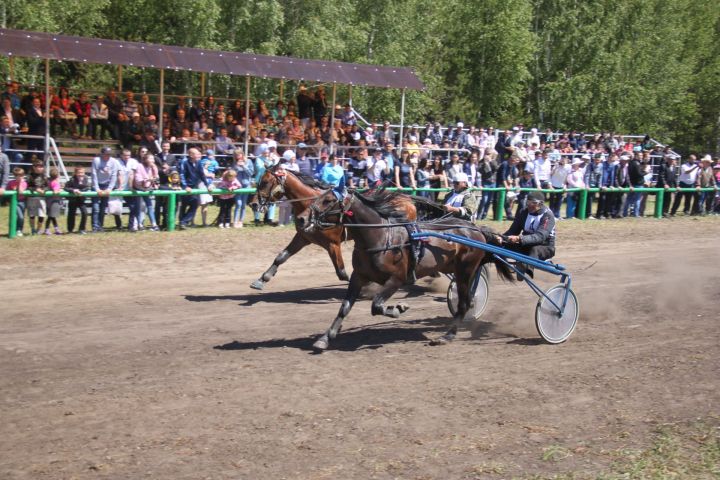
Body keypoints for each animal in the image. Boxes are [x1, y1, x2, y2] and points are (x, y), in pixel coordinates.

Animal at [252, 166, 420, 288]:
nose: (253, 203)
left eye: (265, 182)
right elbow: (281, 257)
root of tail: (408, 199)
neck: (310, 204)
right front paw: (262, 279)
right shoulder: (303, 237)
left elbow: (341, 272)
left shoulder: (333, 243)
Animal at [296, 189, 516, 350]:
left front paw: (398, 309)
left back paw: (447, 335)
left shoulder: (397, 279)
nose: (300, 219)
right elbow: (345, 307)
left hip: (465, 271)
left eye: (328, 200)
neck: (381, 238)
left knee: (464, 302)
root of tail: (477, 230)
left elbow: (376, 305)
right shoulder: (358, 277)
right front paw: (325, 337)